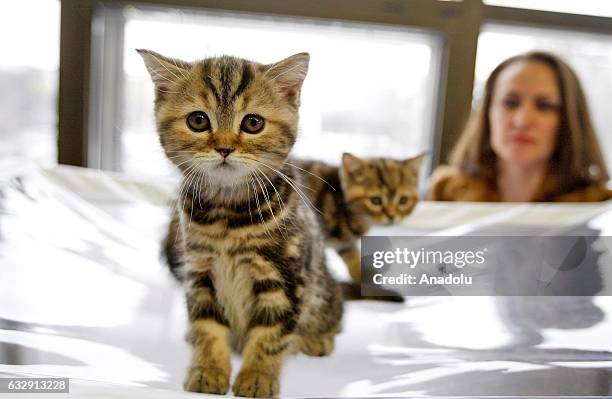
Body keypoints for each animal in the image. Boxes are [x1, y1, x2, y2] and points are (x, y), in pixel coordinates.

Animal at [139, 48, 344, 398]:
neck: (227, 214)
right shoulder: (199, 272)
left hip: (324, 292)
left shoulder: (285, 276)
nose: (224, 147)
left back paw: (317, 339)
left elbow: (271, 333)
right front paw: (208, 369)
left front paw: (257, 376)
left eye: (253, 123)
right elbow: (207, 326)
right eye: (198, 120)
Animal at [298, 153, 426, 296]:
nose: (391, 216)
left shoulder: (345, 243)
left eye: (403, 200)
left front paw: (363, 276)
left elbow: (351, 255)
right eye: (376, 200)